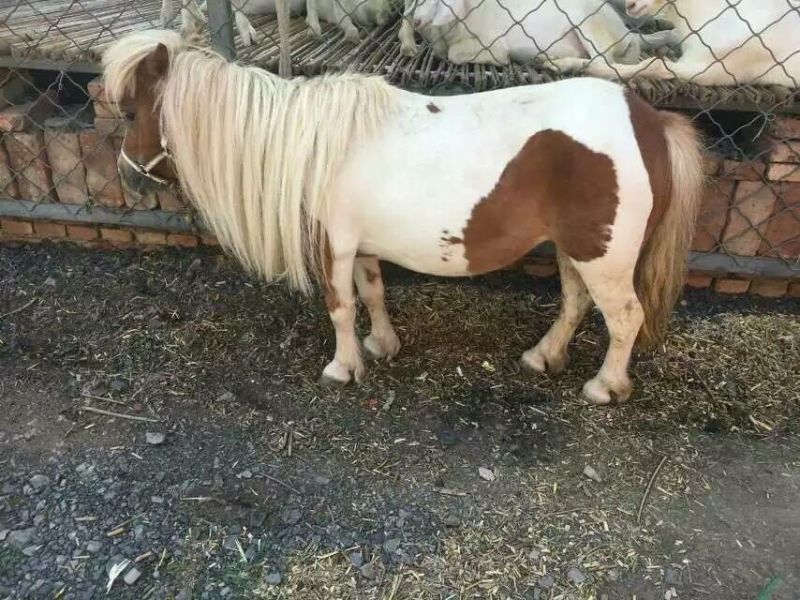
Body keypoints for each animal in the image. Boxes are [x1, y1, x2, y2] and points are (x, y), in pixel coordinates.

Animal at [102, 27, 703, 405]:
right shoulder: (361, 245)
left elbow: (341, 307)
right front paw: (382, 346)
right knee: (575, 303)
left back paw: (606, 387)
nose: (129, 178)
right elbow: (371, 293)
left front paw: (344, 366)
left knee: (624, 318)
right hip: (572, 249)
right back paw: (543, 356)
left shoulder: (333, 245)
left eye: (130, 112)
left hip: (603, 257)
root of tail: (650, 121)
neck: (313, 145)